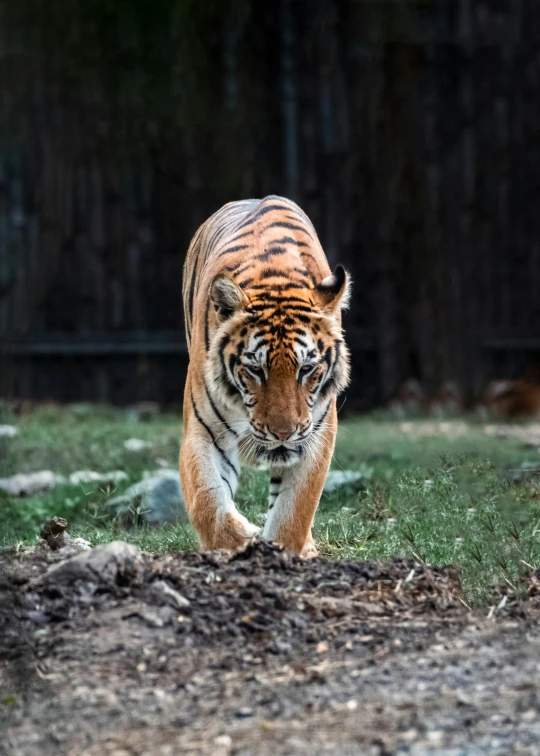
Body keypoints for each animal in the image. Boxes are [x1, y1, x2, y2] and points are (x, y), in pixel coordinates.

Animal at [179, 198, 352, 560]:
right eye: (256, 370)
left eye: (306, 369)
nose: (283, 434)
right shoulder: (203, 431)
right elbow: (206, 500)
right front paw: (238, 542)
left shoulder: (317, 432)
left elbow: (295, 509)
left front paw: (282, 550)